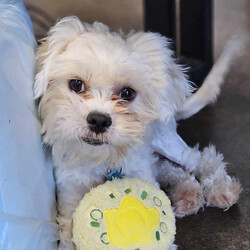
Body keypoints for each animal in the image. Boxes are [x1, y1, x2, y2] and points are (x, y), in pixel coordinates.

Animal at [34, 16, 242, 249]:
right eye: (76, 84)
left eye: (127, 93)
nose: (98, 120)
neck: (104, 161)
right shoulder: (70, 197)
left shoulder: (141, 171)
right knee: (171, 169)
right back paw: (188, 194)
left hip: (164, 142)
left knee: (200, 158)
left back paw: (221, 189)